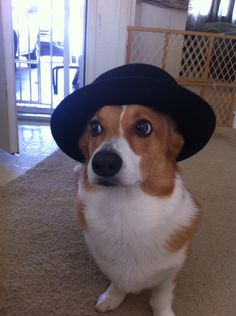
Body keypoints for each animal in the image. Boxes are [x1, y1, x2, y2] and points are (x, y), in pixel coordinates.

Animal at [75, 104, 201, 316]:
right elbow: (117, 283)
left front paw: (163, 312)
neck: (125, 211)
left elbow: (161, 297)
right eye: (94, 127)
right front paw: (112, 297)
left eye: (143, 127)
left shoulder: (172, 272)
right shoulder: (109, 266)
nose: (103, 163)